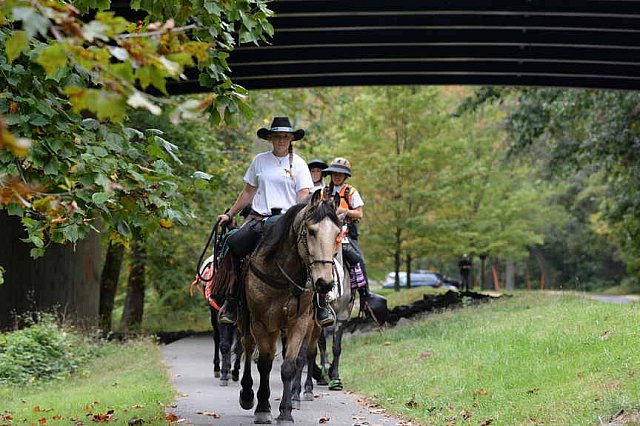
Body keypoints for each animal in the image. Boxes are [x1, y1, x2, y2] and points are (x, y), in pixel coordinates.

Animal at [238, 191, 342, 426]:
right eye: (311, 231)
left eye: (338, 234)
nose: (325, 283)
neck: (282, 274)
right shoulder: (261, 323)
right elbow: (265, 364)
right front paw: (263, 408)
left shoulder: (299, 322)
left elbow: (289, 365)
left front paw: (285, 412)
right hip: (245, 319)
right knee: (247, 347)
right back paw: (247, 395)